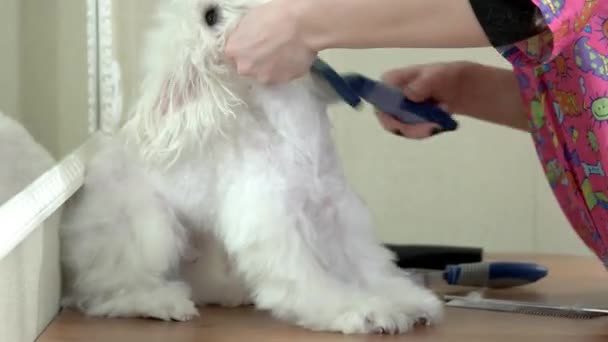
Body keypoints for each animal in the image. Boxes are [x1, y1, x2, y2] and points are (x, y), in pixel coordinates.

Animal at [59, 0, 444, 332]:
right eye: (211, 16)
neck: (295, 137)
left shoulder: (338, 213)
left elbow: (369, 268)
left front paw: (408, 301)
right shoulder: (276, 224)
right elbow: (311, 282)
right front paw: (365, 312)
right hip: (148, 230)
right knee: (105, 291)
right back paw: (163, 303)